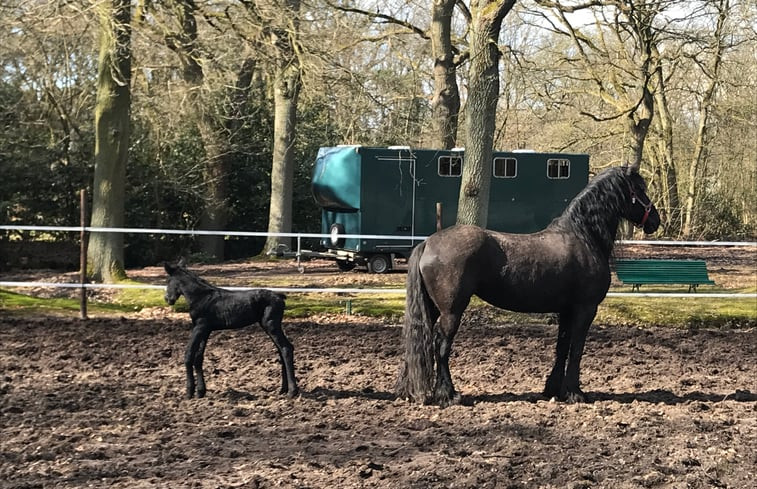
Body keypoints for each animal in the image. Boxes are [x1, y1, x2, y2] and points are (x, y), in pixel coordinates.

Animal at [165, 258, 298, 398]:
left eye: (168, 280)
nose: (167, 299)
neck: (201, 297)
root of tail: (280, 296)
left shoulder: (199, 327)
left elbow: (189, 355)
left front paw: (189, 392)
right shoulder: (205, 330)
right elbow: (198, 357)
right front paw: (201, 391)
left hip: (271, 325)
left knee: (286, 348)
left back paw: (292, 391)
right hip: (269, 326)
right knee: (281, 349)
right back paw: (283, 389)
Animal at [398, 166, 660, 406]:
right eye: (639, 190)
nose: (655, 221)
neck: (584, 237)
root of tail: (428, 243)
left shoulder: (566, 311)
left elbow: (562, 347)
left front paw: (554, 390)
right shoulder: (585, 309)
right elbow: (576, 349)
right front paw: (575, 393)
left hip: (432, 309)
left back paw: (411, 390)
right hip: (451, 311)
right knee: (441, 346)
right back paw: (448, 395)